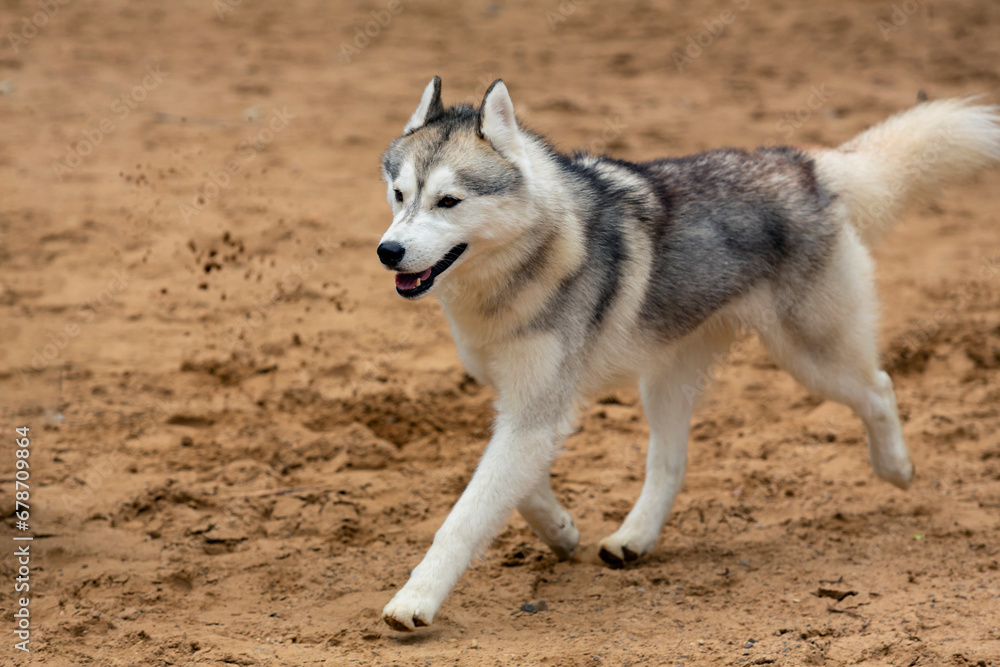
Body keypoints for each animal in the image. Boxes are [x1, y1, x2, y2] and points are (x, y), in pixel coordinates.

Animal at [376, 78, 1000, 632]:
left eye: (449, 201)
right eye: (400, 195)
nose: (388, 251)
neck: (527, 258)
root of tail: (804, 165)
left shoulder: (535, 414)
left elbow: (464, 517)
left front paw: (416, 600)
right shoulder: (521, 408)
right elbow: (512, 491)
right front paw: (561, 530)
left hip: (812, 358)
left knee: (879, 387)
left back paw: (896, 468)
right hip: (666, 380)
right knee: (671, 463)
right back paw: (633, 540)